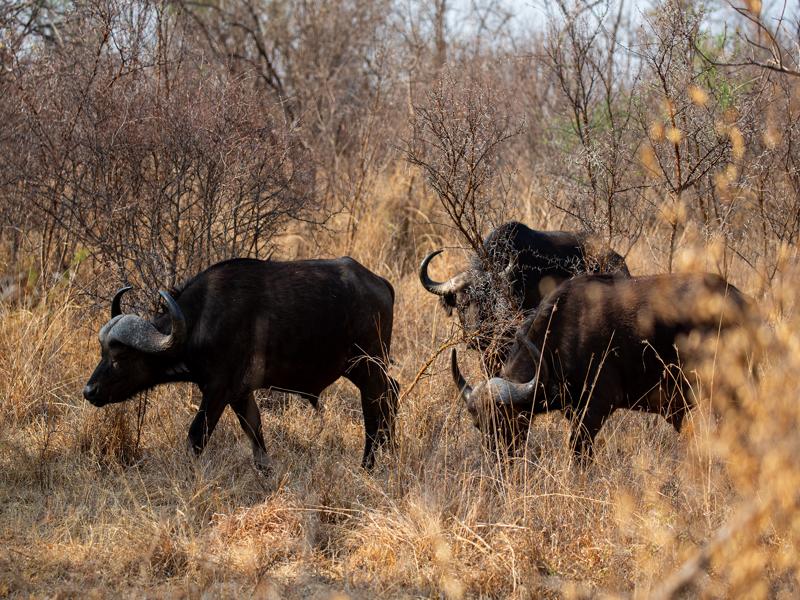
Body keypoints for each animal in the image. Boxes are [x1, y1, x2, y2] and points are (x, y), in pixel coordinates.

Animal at [84, 257, 399, 470]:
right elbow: (256, 437)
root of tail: (381, 284)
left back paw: (368, 466)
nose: (89, 391)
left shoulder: (218, 390)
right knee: (392, 394)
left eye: (121, 356)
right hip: (365, 368)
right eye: (102, 352)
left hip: (368, 366)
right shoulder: (241, 394)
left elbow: (196, 436)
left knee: (375, 410)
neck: (199, 321)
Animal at [450, 272, 753, 460]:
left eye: (505, 421)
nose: (498, 462)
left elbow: (579, 453)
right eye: (478, 425)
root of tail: (742, 302)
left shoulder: (595, 409)